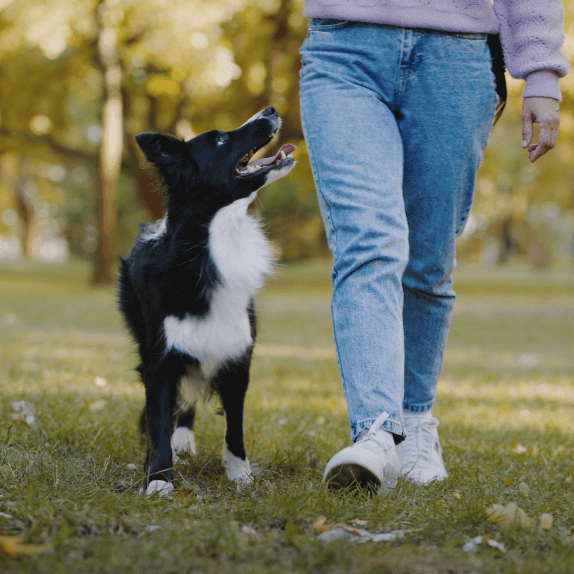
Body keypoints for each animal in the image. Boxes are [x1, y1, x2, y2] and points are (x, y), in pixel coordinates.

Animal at [117, 109, 296, 500]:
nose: (271, 110)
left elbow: (235, 427)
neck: (212, 239)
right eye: (219, 140)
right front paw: (159, 479)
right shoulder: (159, 360)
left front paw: (240, 475)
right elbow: (159, 421)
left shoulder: (236, 354)